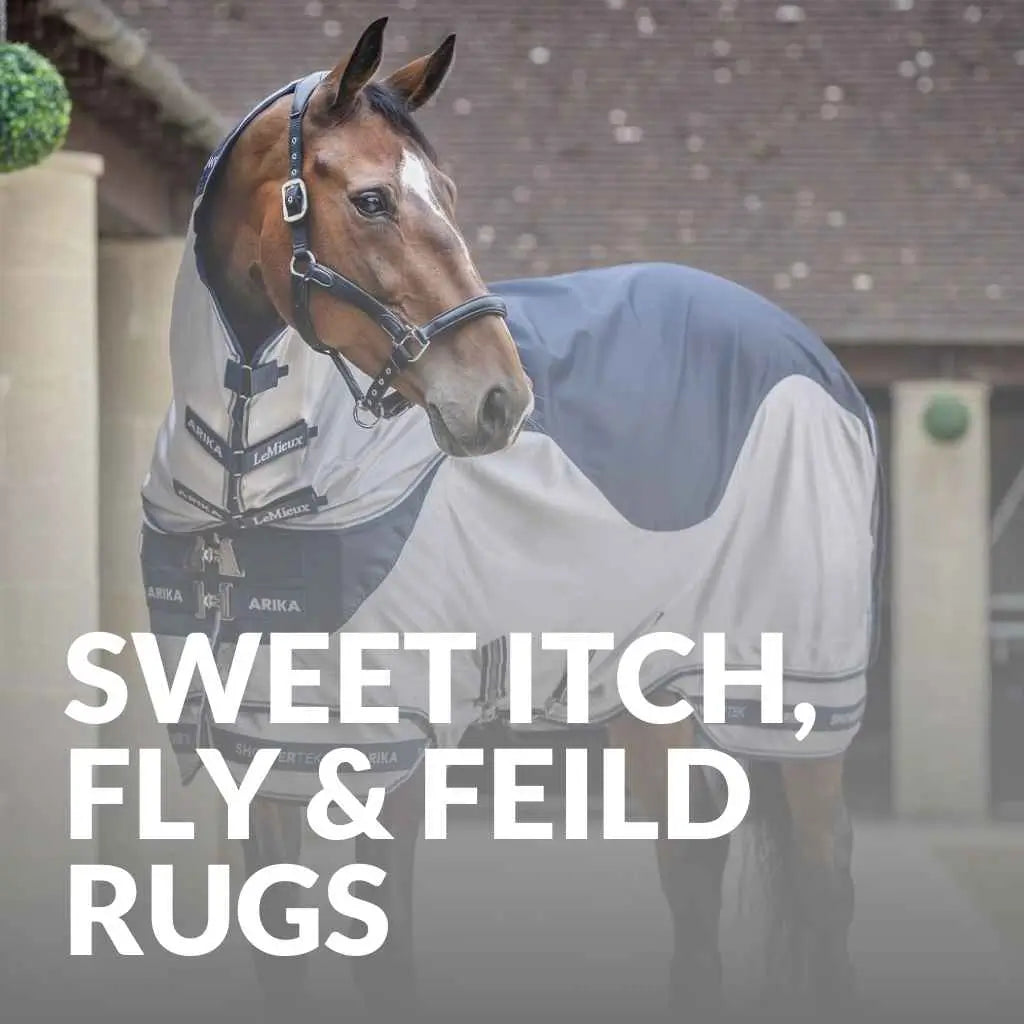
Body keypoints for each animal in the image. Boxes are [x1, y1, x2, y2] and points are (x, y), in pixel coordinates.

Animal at [139, 17, 878, 1020]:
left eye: (447, 194)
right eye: (371, 199)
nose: (499, 400)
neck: (245, 489)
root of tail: (813, 358)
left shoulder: (392, 751)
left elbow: (387, 963)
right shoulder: (261, 753)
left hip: (796, 705)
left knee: (824, 894)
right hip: (657, 699)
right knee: (692, 882)